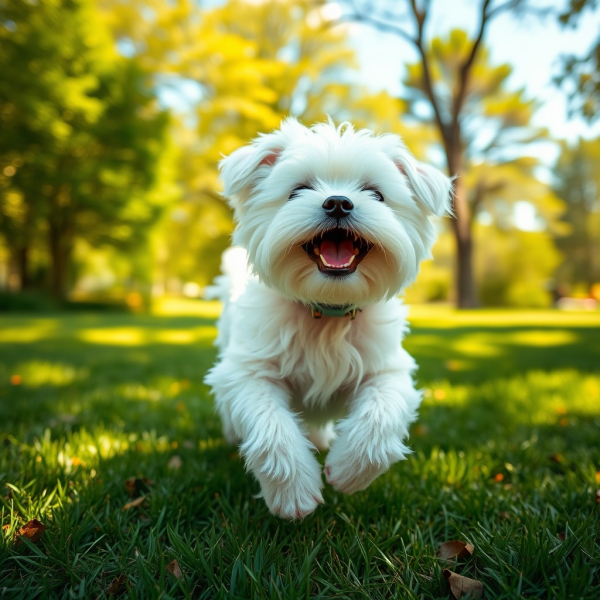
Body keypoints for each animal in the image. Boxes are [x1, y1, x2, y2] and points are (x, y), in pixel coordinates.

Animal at [206, 118, 450, 520]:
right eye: (297, 190)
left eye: (376, 194)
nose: (338, 202)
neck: (328, 311)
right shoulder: (249, 372)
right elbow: (271, 427)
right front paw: (294, 493)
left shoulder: (387, 370)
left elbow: (381, 418)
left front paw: (349, 470)